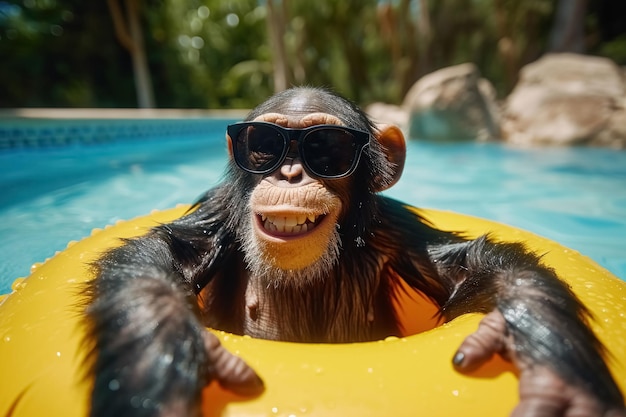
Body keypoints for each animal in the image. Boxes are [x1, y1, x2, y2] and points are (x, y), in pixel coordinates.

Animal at [85, 86, 620, 414]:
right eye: (262, 144)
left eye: (327, 148)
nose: (290, 173)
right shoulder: (215, 215)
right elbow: (161, 259)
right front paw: (159, 385)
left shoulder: (395, 228)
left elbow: (473, 267)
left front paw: (558, 381)